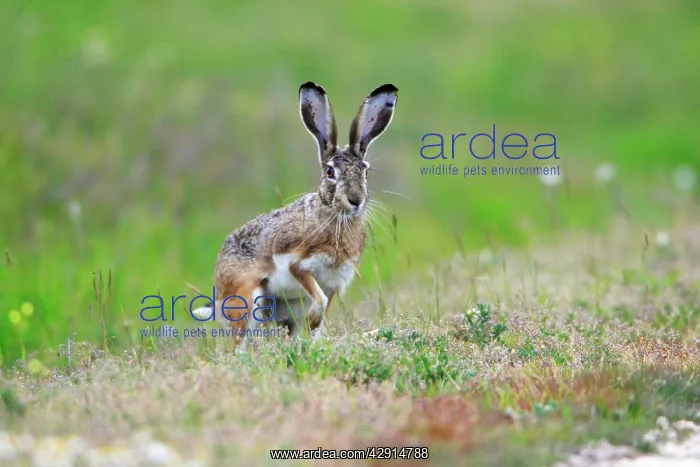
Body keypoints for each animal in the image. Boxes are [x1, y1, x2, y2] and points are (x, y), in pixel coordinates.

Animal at [192, 82, 398, 349]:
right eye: (330, 172)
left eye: (365, 172)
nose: (355, 200)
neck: (331, 213)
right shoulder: (298, 264)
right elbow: (317, 297)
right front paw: (313, 322)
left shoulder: (334, 283)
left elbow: (322, 312)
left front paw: (314, 336)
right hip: (248, 299)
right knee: (239, 342)